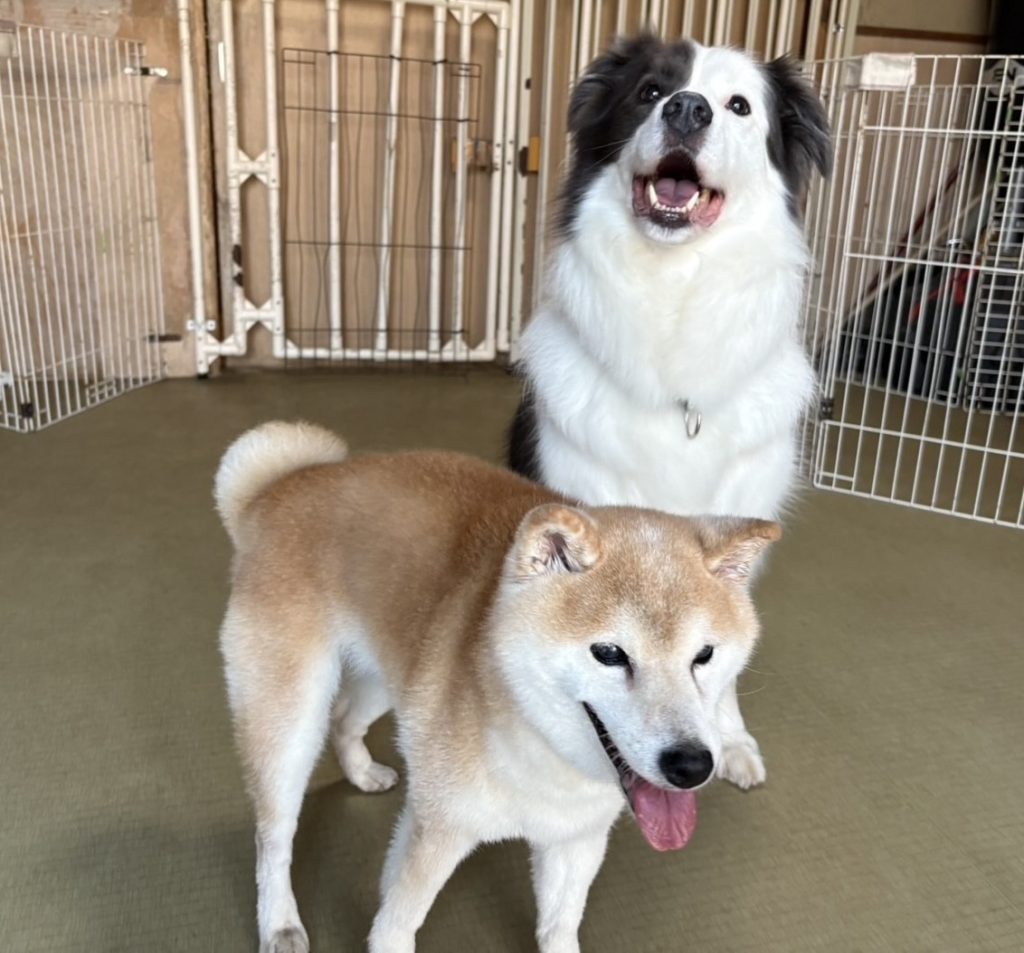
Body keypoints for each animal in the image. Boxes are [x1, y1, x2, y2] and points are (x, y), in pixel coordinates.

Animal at [215, 421, 780, 953]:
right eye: (610, 654)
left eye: (704, 656)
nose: (692, 765)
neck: (541, 748)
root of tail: (276, 489)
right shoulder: (435, 830)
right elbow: (394, 927)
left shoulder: (576, 839)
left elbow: (559, 928)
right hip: (289, 723)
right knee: (274, 837)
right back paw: (280, 922)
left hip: (389, 680)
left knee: (344, 719)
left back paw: (362, 773)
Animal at [508, 35, 831, 789]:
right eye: (650, 92)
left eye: (739, 105)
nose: (688, 108)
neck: (672, 292)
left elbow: (720, 650)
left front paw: (729, 737)